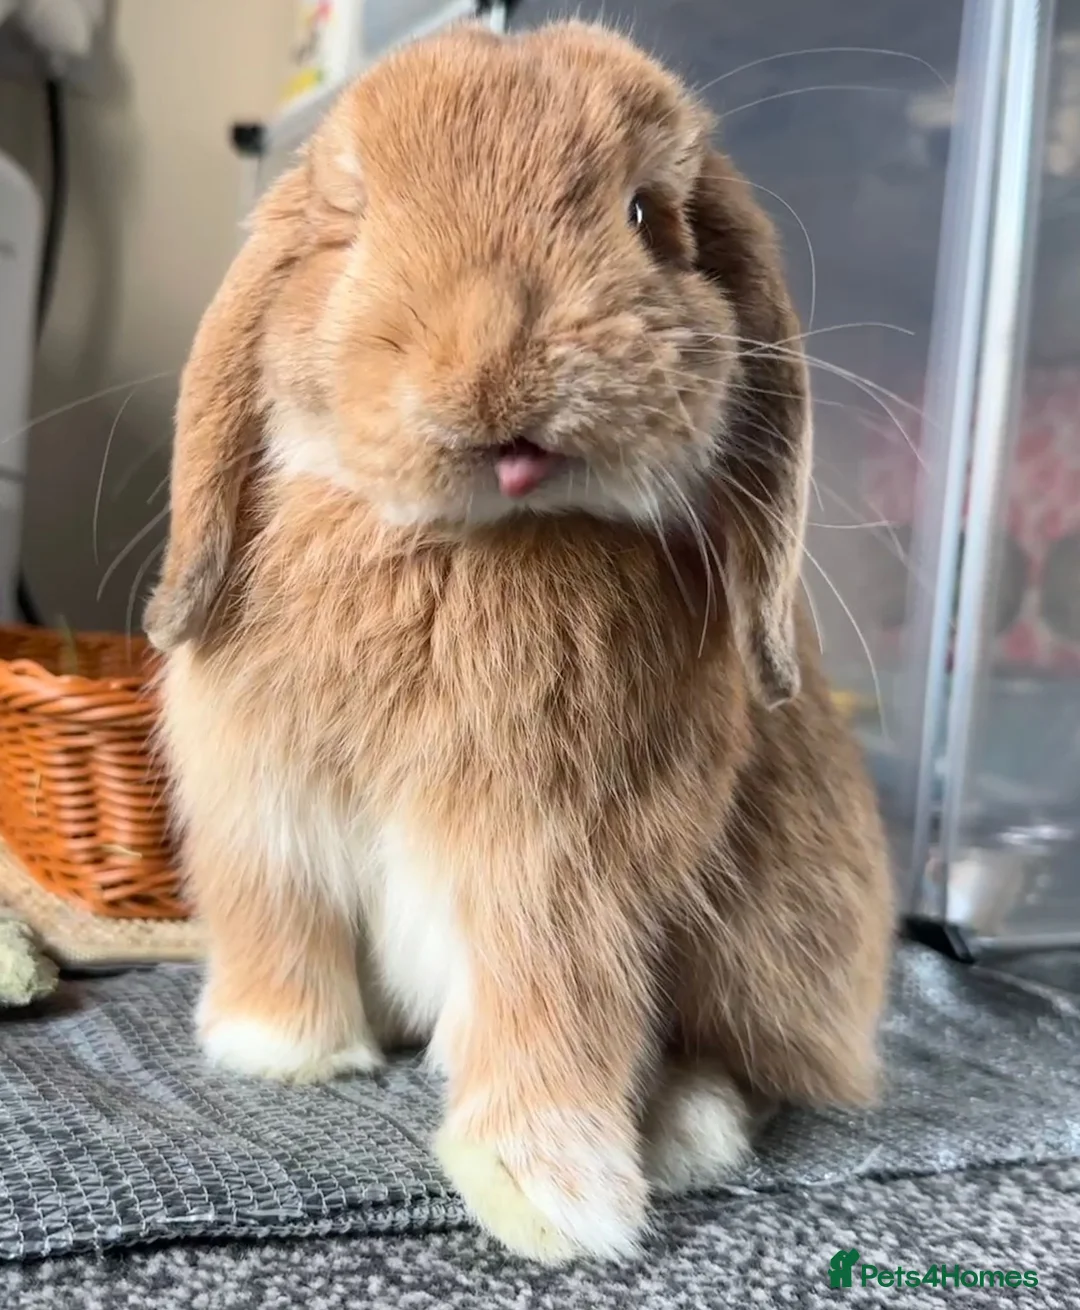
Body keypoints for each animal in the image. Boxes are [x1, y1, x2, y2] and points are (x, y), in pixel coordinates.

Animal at [146, 20, 894, 1264]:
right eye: (354, 217)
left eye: (645, 214)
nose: (495, 369)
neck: (463, 547)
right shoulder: (267, 820)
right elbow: (283, 924)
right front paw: (279, 1051)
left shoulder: (561, 872)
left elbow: (552, 1003)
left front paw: (549, 1199)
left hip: (781, 942)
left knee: (753, 1064)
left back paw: (682, 1132)